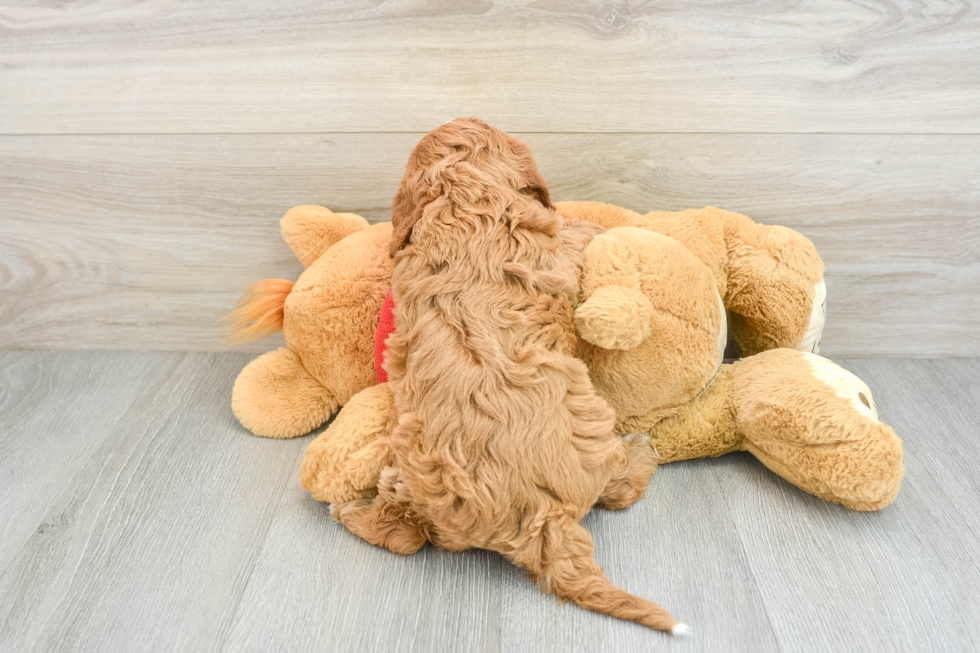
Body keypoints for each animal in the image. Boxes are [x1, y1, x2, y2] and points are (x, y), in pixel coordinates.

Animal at [330, 118, 680, 632]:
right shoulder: (554, 245)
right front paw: (595, 225)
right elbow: (573, 232)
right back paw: (640, 453)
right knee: (619, 489)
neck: (464, 191)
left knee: (405, 536)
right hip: (589, 420)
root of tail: (543, 518)